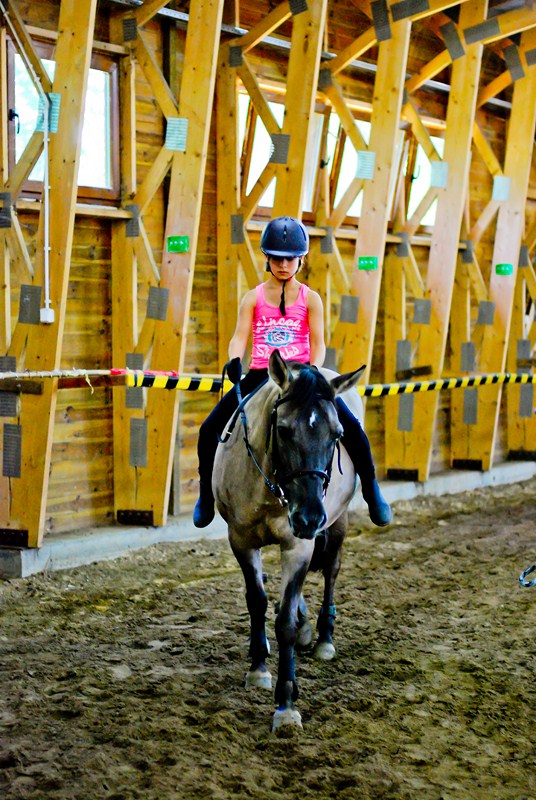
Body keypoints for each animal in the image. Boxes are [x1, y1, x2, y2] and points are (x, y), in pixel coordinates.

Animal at [213, 350, 365, 731]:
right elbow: (257, 601)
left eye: (337, 433)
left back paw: (324, 638)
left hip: (337, 524)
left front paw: (285, 703)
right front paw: (258, 669)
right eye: (282, 430)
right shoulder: (241, 540)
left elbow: (285, 624)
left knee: (331, 572)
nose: (309, 517)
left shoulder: (299, 546)